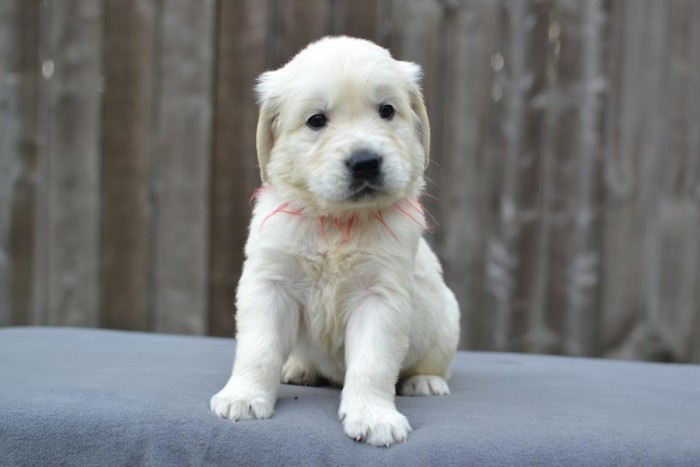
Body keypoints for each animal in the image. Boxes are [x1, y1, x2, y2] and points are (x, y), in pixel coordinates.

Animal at [211, 35, 462, 446]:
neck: (336, 222)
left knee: (433, 364)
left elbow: (373, 363)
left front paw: (374, 416)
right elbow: (258, 348)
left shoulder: (380, 296)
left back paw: (425, 382)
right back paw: (299, 369)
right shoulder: (269, 285)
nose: (365, 162)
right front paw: (243, 396)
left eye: (387, 111)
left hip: (445, 320)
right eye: (316, 120)